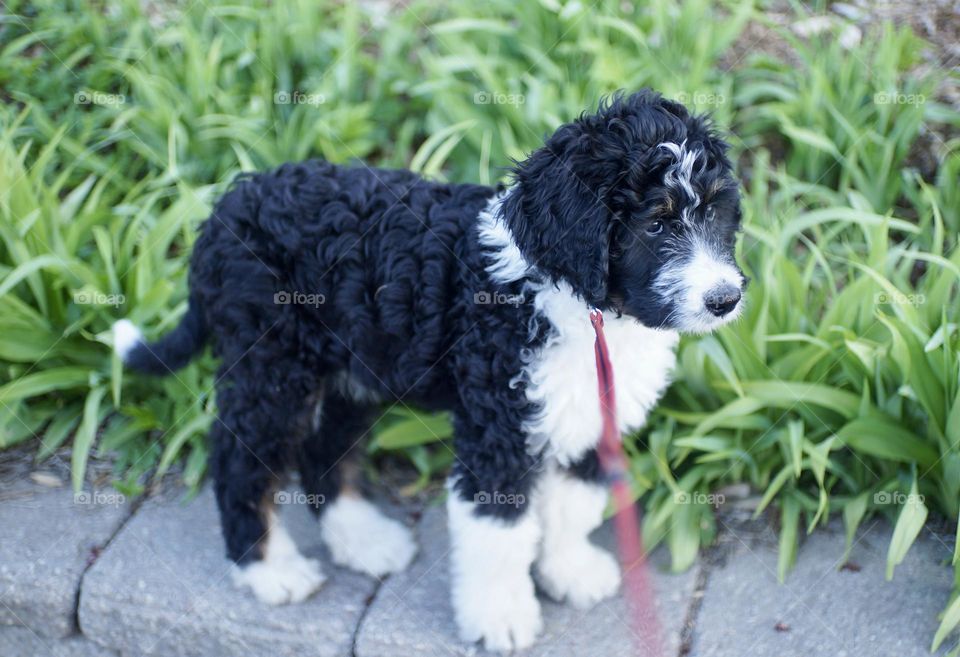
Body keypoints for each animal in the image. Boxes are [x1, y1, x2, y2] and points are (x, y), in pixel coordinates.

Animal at [112, 88, 744, 652]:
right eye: (656, 225)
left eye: (715, 211)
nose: (725, 299)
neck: (581, 306)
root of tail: (220, 215)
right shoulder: (498, 431)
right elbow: (499, 532)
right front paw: (501, 619)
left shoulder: (586, 414)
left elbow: (572, 504)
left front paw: (570, 572)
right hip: (273, 371)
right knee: (240, 459)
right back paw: (270, 569)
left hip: (352, 371)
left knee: (322, 449)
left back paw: (364, 540)